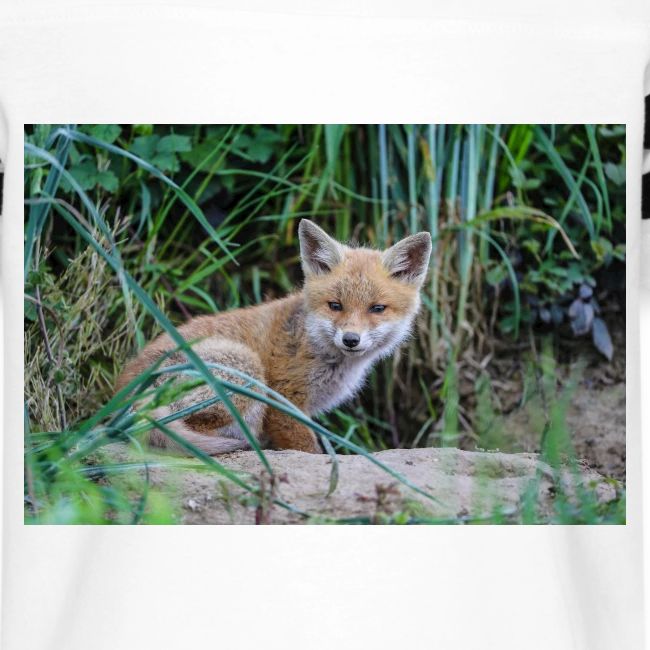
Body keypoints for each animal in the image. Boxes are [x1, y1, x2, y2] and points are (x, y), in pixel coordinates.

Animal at [116, 219, 432, 455]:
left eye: (377, 309)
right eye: (335, 305)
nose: (351, 339)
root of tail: (124, 395)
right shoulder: (284, 401)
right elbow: (308, 448)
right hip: (246, 369)